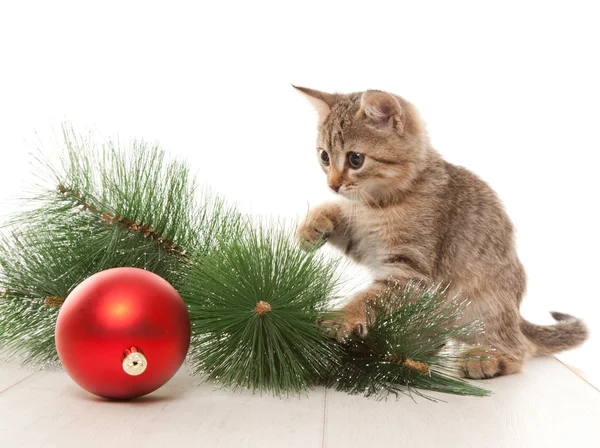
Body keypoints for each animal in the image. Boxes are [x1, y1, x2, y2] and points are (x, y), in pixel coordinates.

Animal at [292, 86, 588, 378]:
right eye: (324, 156)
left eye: (355, 159)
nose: (332, 185)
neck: (378, 204)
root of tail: (517, 314)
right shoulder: (367, 244)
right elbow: (337, 216)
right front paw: (314, 224)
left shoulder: (410, 270)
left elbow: (371, 297)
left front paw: (342, 317)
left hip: (484, 303)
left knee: (518, 348)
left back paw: (486, 358)